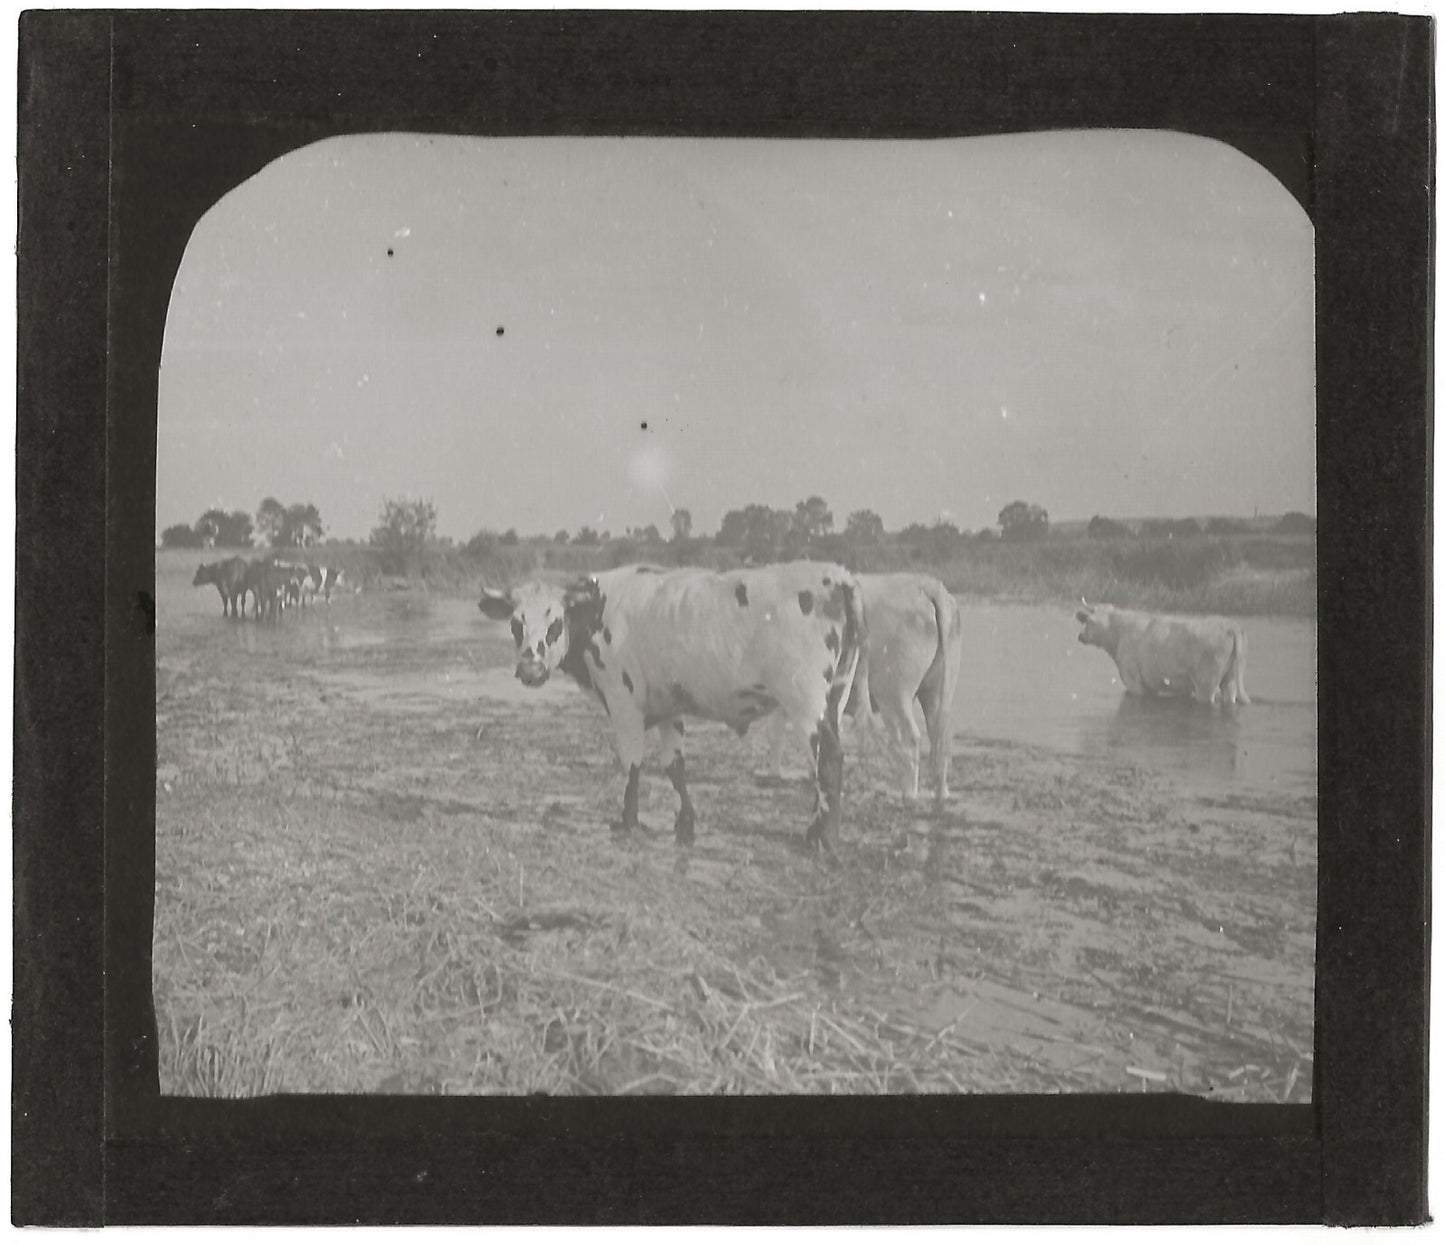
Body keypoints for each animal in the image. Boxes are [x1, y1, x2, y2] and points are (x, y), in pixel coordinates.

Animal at [478, 562, 867, 853]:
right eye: (515, 625)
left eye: (556, 623)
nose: (531, 670)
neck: (599, 610)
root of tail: (839, 576)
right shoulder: (669, 707)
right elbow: (674, 766)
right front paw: (685, 823)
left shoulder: (623, 702)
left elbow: (632, 764)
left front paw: (628, 821)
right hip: (835, 695)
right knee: (822, 762)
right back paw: (814, 830)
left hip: (806, 699)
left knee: (829, 758)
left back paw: (824, 842)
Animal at [767, 571, 963, 804]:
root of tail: (927, 585)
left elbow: (779, 735)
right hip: (936, 692)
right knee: (940, 739)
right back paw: (941, 794)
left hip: (892, 693)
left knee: (910, 739)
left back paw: (908, 795)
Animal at [1074, 601, 1250, 705]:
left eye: (1090, 622)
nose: (1080, 636)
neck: (1118, 634)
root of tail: (1230, 625)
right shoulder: (1151, 684)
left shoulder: (1133, 680)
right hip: (1229, 678)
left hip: (1206, 683)